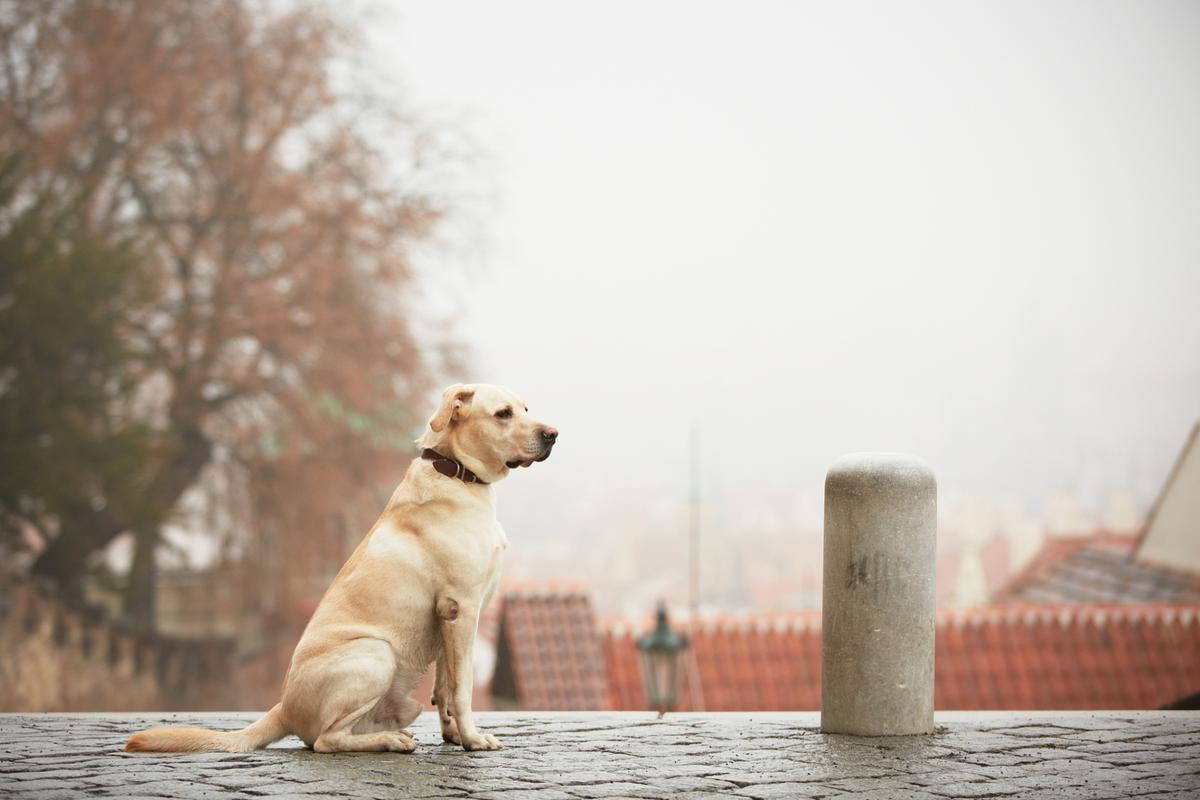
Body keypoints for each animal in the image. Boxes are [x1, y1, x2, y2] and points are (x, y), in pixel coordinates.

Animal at [124, 383, 554, 753]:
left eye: (526, 409)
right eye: (503, 413)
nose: (554, 434)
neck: (457, 474)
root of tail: (283, 708)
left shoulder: (451, 615)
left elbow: (445, 687)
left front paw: (453, 736)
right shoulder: (462, 608)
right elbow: (462, 688)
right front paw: (474, 739)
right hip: (376, 652)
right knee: (325, 741)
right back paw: (388, 741)